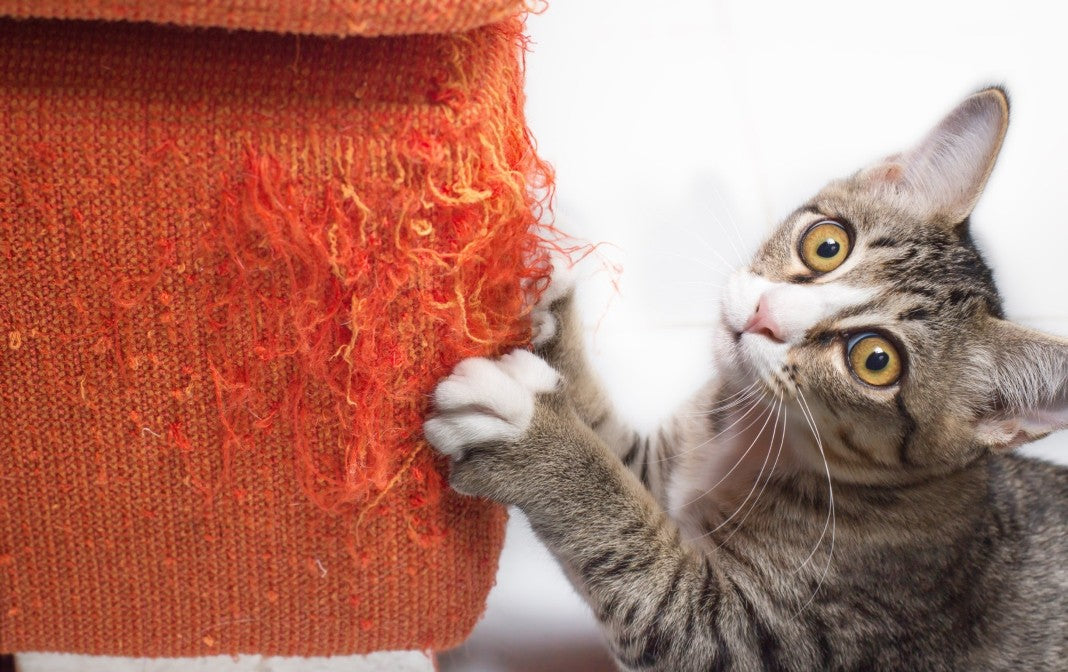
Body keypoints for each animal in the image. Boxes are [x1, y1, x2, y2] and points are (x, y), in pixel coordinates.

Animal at [420, 86, 1063, 666]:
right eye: (827, 243)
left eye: (876, 361)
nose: (765, 316)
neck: (755, 434)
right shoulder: (664, 464)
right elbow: (621, 455)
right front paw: (542, 291)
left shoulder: (752, 632)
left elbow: (649, 575)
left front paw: (534, 436)